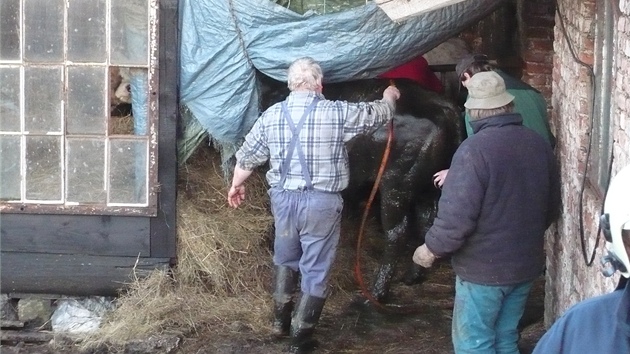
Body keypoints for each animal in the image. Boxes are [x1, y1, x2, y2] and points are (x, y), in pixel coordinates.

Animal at [260, 74, 464, 302]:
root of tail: (445, 109)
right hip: (428, 189)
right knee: (427, 225)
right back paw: (412, 276)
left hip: (395, 187)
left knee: (397, 233)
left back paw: (377, 292)